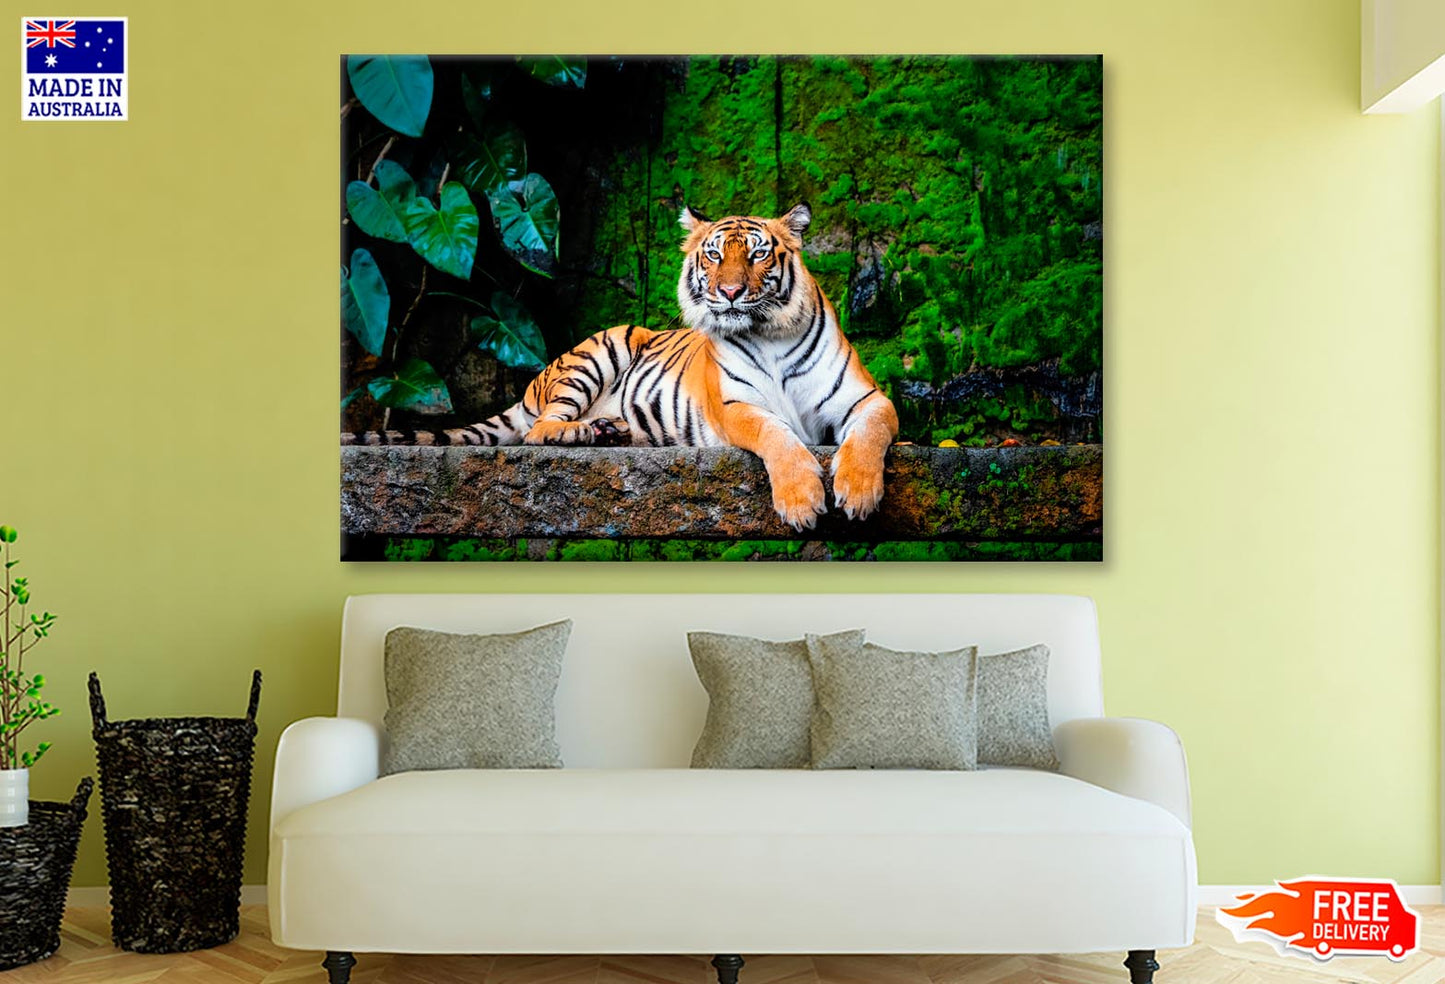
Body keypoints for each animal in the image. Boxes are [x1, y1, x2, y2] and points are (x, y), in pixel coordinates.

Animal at [347, 203, 899, 530]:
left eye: (760, 254)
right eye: (714, 255)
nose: (730, 292)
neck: (769, 333)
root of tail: (532, 385)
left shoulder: (868, 399)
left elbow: (869, 434)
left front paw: (858, 493)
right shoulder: (736, 406)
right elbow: (778, 437)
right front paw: (803, 502)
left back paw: (611, 430)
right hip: (600, 350)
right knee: (539, 430)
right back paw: (582, 432)